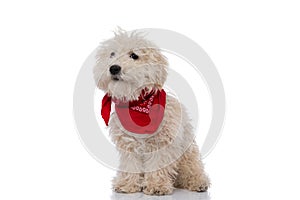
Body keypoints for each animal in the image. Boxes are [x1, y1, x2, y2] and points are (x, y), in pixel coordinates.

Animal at [93, 28, 209, 195]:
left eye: (134, 56)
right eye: (112, 54)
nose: (114, 68)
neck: (137, 104)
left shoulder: (161, 143)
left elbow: (157, 164)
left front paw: (157, 185)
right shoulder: (128, 144)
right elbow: (130, 165)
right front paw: (127, 184)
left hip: (188, 154)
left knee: (192, 170)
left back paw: (197, 182)